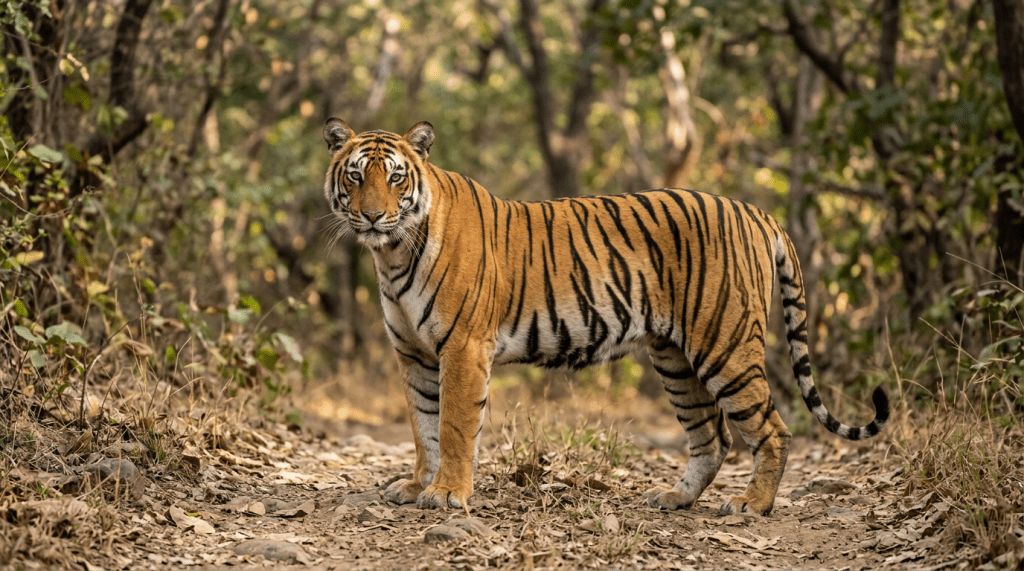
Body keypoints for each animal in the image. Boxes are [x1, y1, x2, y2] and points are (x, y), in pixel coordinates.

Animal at [321, 119, 889, 517]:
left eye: (396, 178)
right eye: (356, 176)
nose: (372, 216)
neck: (393, 253)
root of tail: (755, 210)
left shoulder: (462, 347)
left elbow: (456, 426)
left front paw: (446, 495)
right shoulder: (414, 354)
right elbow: (424, 426)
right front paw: (419, 484)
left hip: (724, 344)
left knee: (772, 429)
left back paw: (752, 504)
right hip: (675, 358)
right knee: (713, 436)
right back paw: (674, 499)